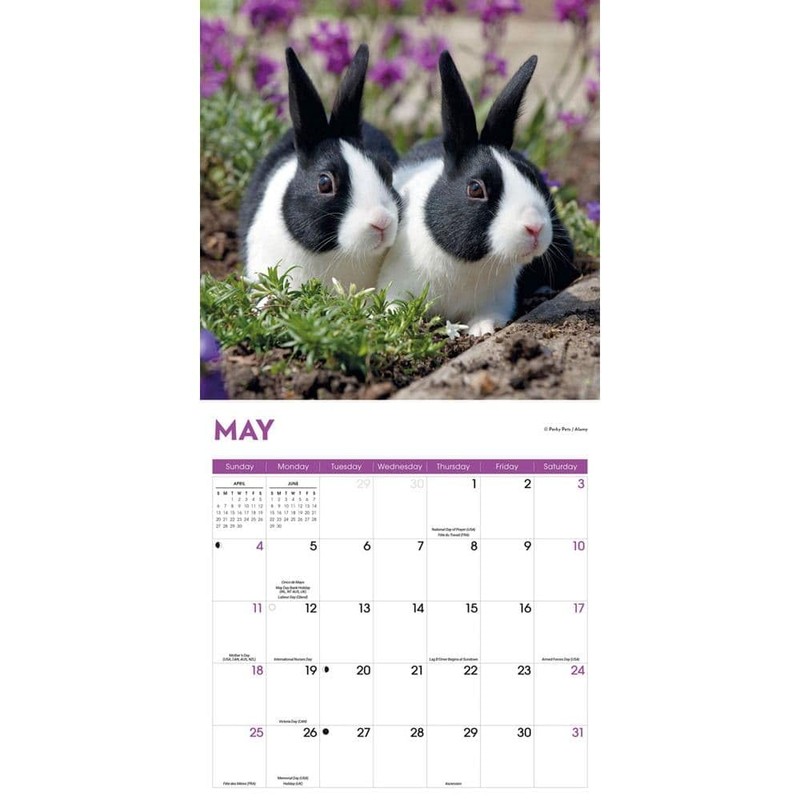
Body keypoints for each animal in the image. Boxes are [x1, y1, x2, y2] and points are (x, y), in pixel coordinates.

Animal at [378, 51, 576, 336]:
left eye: (529, 175)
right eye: (475, 189)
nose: (535, 227)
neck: (468, 264)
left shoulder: (497, 301)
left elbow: (487, 316)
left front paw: (482, 330)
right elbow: (393, 305)